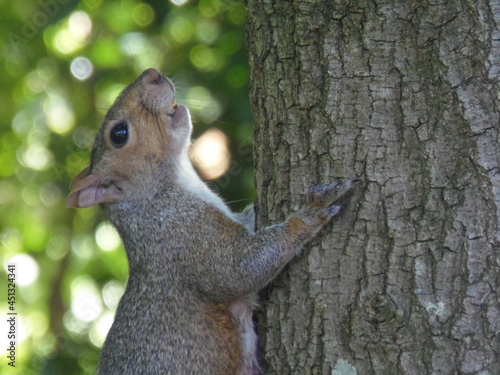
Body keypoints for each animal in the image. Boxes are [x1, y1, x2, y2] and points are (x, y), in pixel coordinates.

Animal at [67, 68, 356, 375]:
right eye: (119, 134)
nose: (152, 73)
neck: (157, 196)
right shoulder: (185, 233)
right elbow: (238, 268)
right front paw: (308, 215)